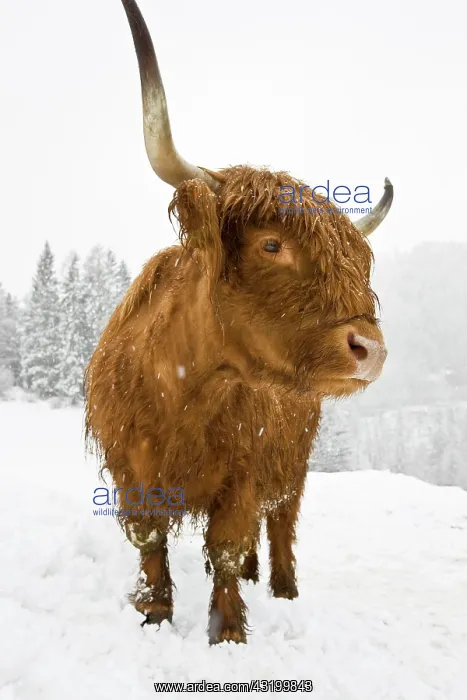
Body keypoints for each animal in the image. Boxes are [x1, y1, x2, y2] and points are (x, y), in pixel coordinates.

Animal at [85, 0, 393, 644]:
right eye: (272, 244)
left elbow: (227, 544)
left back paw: (282, 587)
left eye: (357, 262)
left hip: (293, 466)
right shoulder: (128, 471)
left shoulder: (246, 474)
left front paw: (226, 634)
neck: (183, 394)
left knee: (280, 523)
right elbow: (149, 539)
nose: (371, 348)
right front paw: (155, 613)